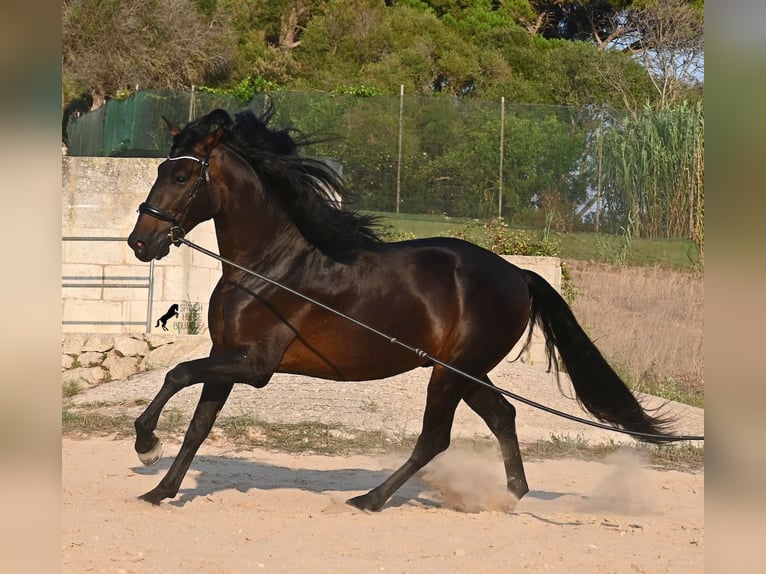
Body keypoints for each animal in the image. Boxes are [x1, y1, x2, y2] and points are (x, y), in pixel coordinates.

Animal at [127, 107, 674, 510]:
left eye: (181, 175)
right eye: (159, 170)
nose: (140, 242)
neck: (268, 266)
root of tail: (517, 273)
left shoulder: (254, 365)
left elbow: (176, 373)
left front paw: (146, 444)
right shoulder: (227, 357)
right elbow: (198, 425)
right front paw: (161, 489)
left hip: (450, 374)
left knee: (435, 439)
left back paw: (370, 500)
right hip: (466, 372)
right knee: (503, 416)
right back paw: (512, 497)